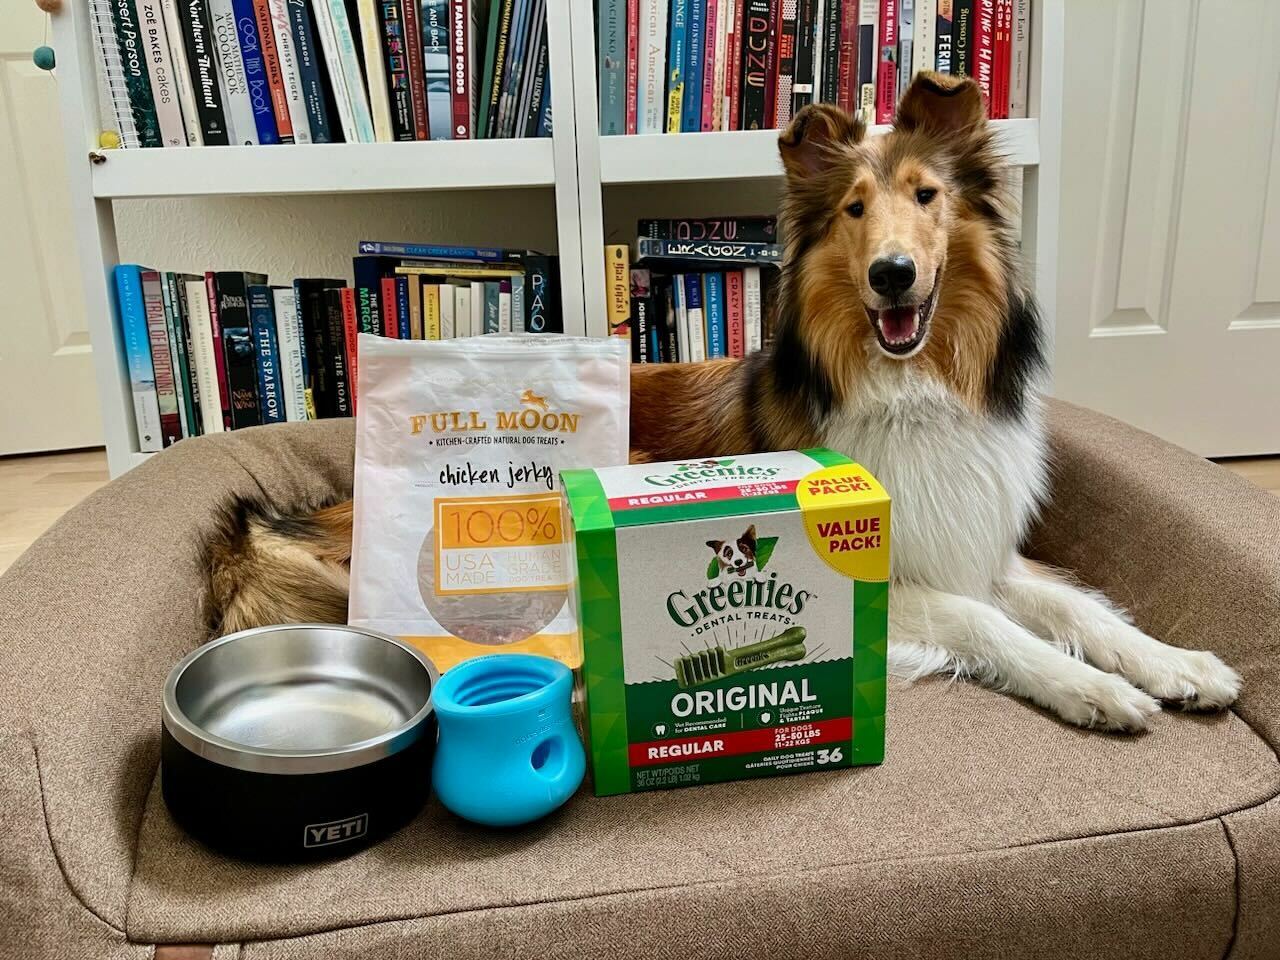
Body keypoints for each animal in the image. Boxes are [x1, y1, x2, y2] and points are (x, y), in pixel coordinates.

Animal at [204, 75, 1233, 732]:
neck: (907, 388)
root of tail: (315, 515)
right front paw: (1090, 691)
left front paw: (1179, 665)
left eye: (927, 196)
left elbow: (1084, 611)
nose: (893, 275)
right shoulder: (897, 575)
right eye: (855, 211)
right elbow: (989, 624)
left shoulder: (975, 546)